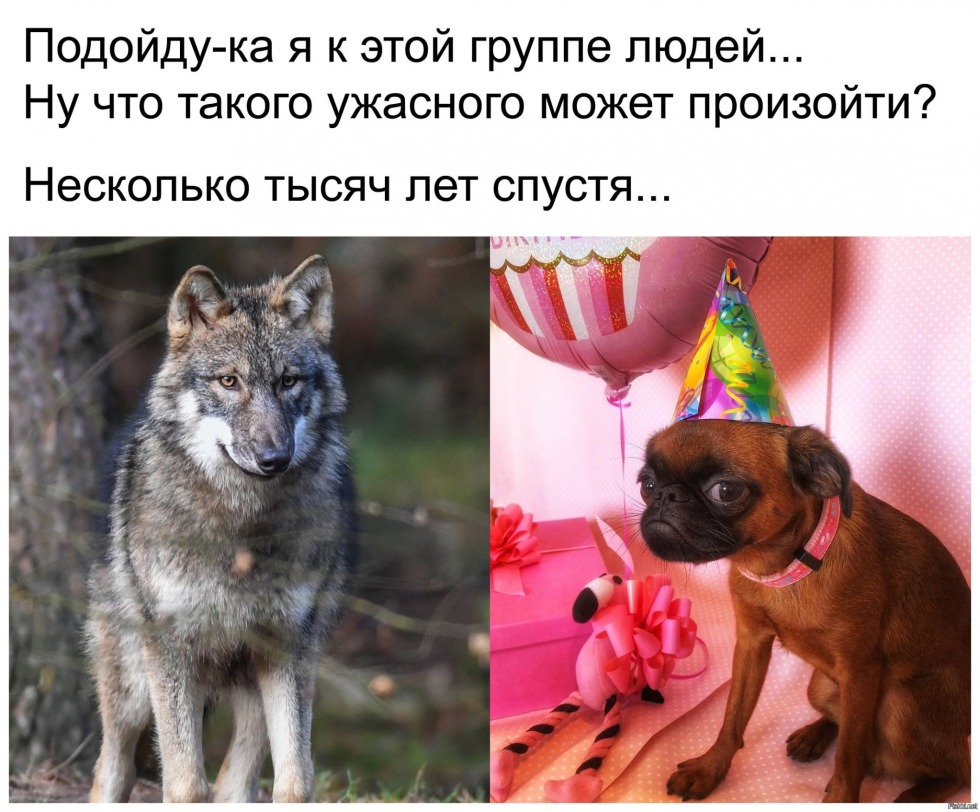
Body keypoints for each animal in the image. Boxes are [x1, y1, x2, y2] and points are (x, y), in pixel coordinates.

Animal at [87, 255, 357, 803]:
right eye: (229, 381)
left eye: (288, 381)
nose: (274, 458)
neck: (241, 528)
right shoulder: (169, 649)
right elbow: (187, 785)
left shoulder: (289, 648)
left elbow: (295, 783)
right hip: (132, 688)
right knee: (111, 769)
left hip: (257, 681)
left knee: (237, 781)